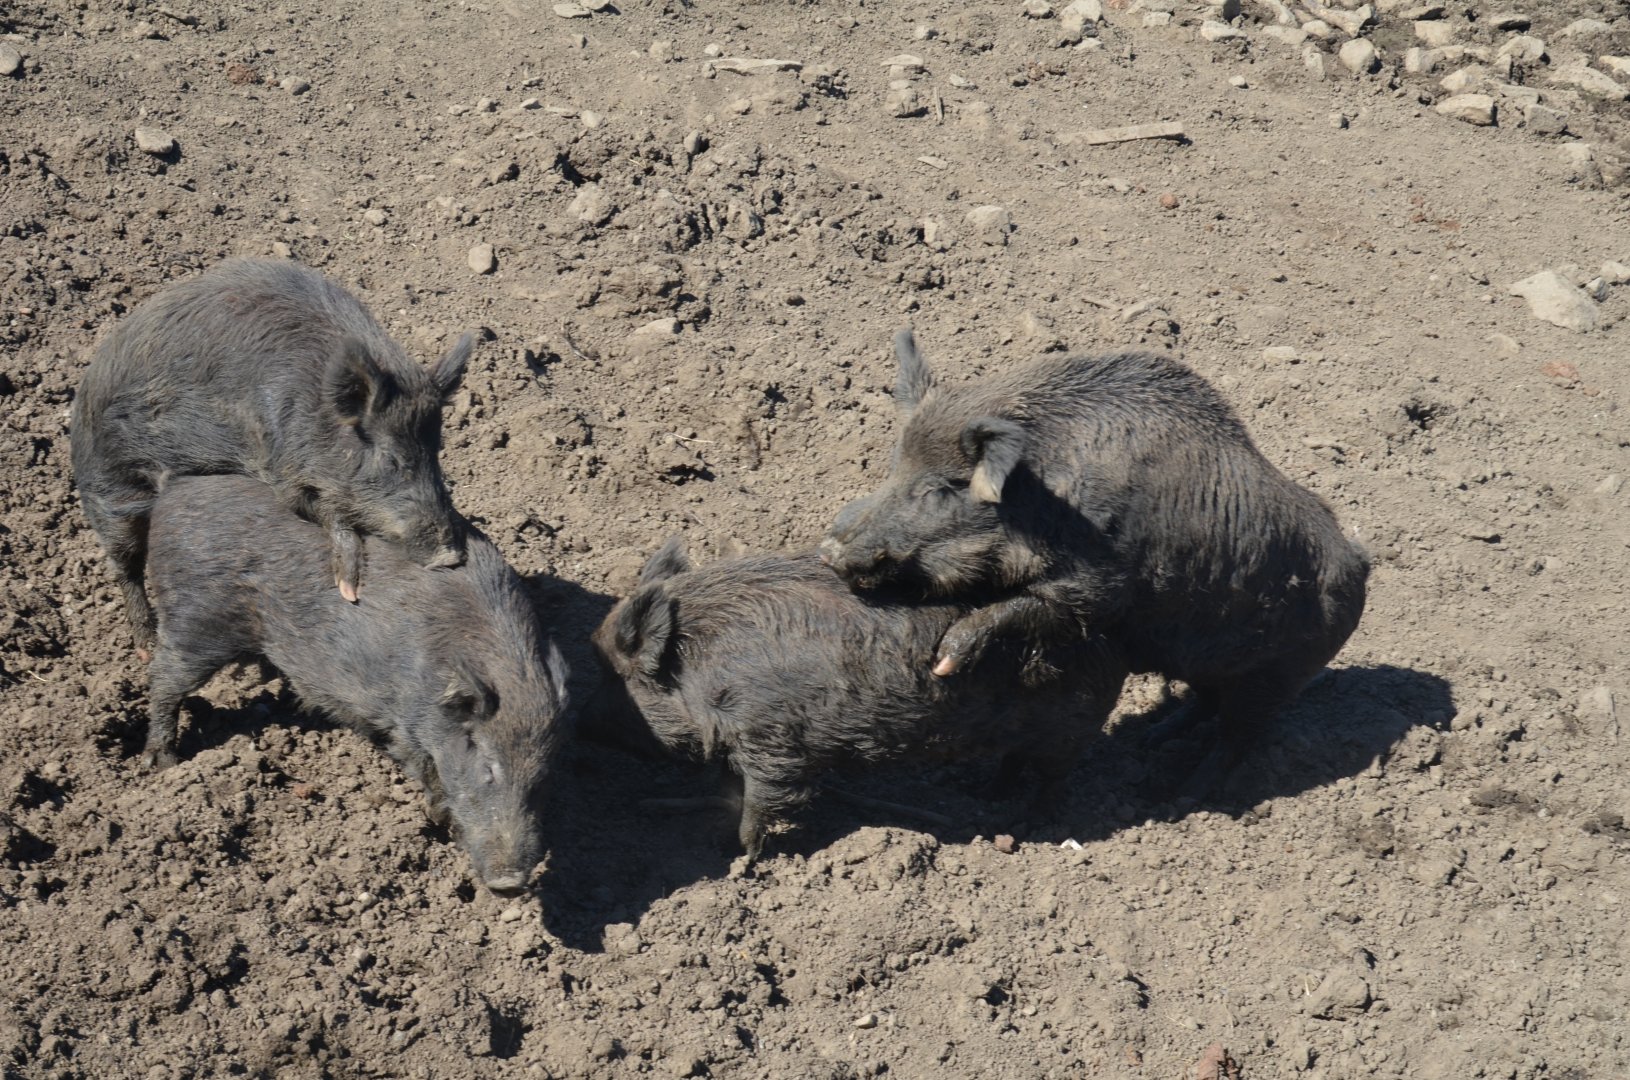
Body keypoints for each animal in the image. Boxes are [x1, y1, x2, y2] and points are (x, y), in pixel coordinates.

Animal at [70, 257, 472, 651]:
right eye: (391, 459)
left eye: (437, 450)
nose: (451, 557)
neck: (315, 410)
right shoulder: (278, 464)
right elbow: (315, 510)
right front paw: (350, 590)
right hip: (109, 492)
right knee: (124, 564)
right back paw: (145, 645)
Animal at [143, 474, 569, 894]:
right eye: (488, 766)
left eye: (542, 776)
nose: (510, 884)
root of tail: (171, 496)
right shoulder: (405, 720)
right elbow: (422, 766)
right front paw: (439, 821)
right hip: (199, 620)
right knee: (164, 681)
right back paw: (162, 763)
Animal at [586, 540, 1127, 860]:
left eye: (609, 678)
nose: (580, 725)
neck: (703, 673)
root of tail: (1115, 640)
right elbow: (729, 793)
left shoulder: (774, 743)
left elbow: (761, 802)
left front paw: (742, 858)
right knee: (1012, 762)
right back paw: (985, 795)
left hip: (1073, 725)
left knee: (1054, 777)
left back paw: (1030, 820)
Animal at [820, 330, 1370, 790]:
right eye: (894, 467)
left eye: (942, 487)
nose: (832, 549)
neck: (1045, 500)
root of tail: (1360, 563)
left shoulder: (1100, 586)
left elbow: (1030, 607)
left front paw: (943, 662)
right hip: (1212, 662)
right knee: (1205, 702)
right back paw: (1153, 735)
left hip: (1279, 675)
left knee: (1238, 737)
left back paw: (1182, 792)